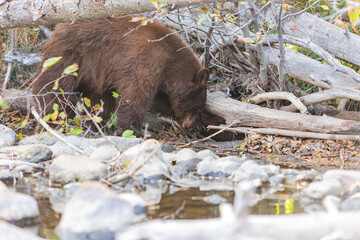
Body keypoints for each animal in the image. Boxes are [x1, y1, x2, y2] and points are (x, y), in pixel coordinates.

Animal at [33, 16, 211, 133]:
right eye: (199, 107)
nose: (194, 126)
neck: (170, 62)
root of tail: (57, 28)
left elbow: (158, 99)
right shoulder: (146, 62)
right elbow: (135, 96)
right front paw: (130, 130)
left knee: (97, 99)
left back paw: (94, 124)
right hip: (70, 55)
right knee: (52, 85)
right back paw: (49, 118)